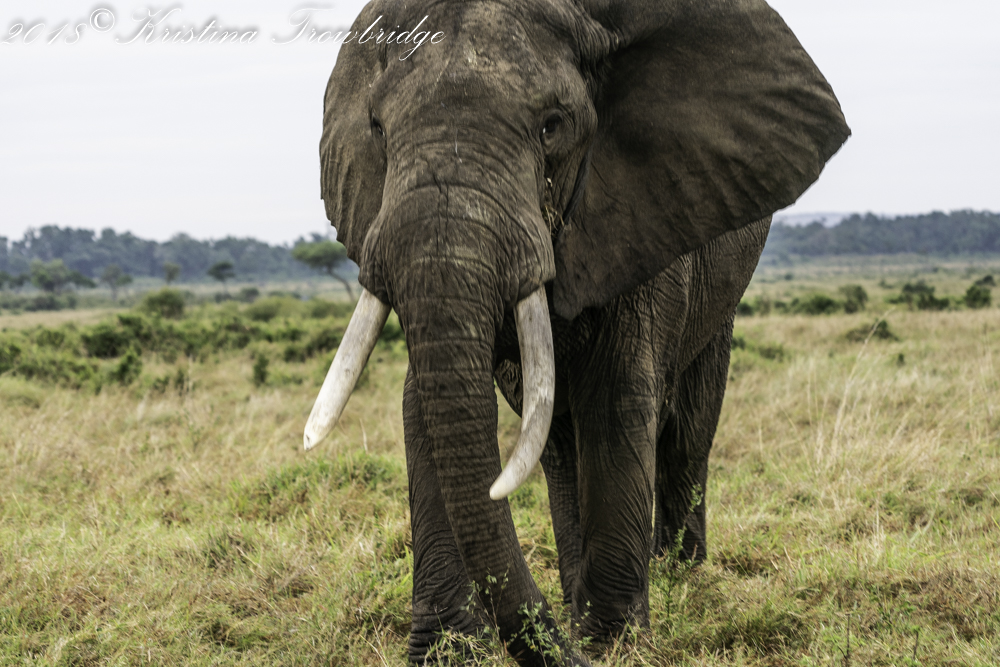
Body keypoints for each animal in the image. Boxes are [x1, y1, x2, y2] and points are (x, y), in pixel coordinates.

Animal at [302, 0, 849, 664]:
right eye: (378, 129)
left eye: (552, 127)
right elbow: (423, 405)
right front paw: (447, 652)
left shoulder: (643, 212)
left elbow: (617, 399)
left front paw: (612, 645)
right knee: (561, 444)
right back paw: (572, 599)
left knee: (687, 427)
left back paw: (676, 579)